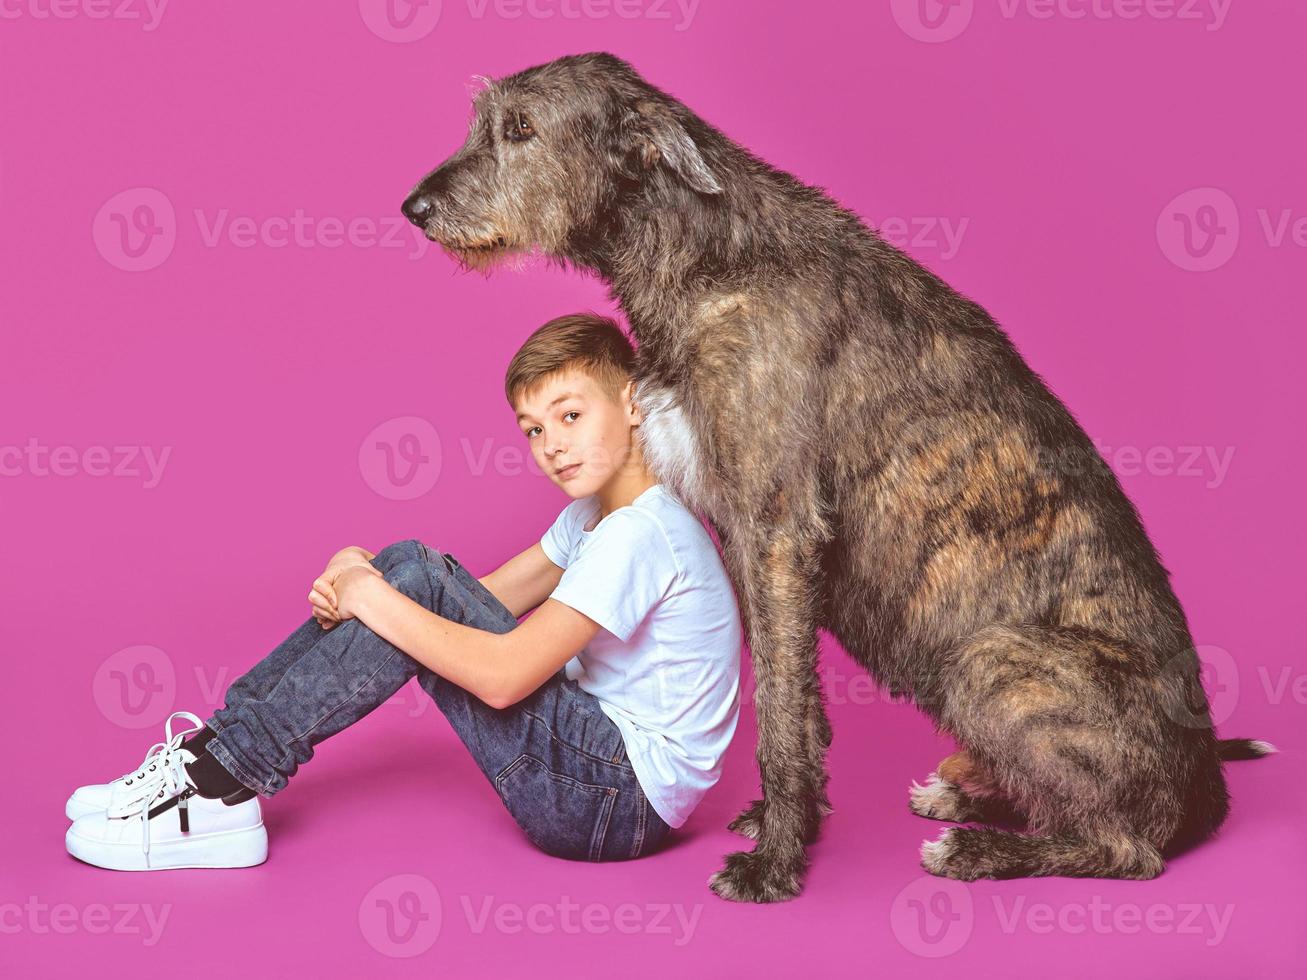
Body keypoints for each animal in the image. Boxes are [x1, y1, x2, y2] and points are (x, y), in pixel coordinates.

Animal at [399, 49, 1265, 904]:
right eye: (483, 121)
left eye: (519, 128)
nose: (413, 208)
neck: (708, 251)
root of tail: (1206, 792)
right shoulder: (744, 534)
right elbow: (799, 702)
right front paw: (798, 825)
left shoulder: (777, 527)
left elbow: (779, 712)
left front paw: (775, 863)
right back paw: (967, 797)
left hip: (990, 662)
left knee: (1127, 849)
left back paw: (977, 850)